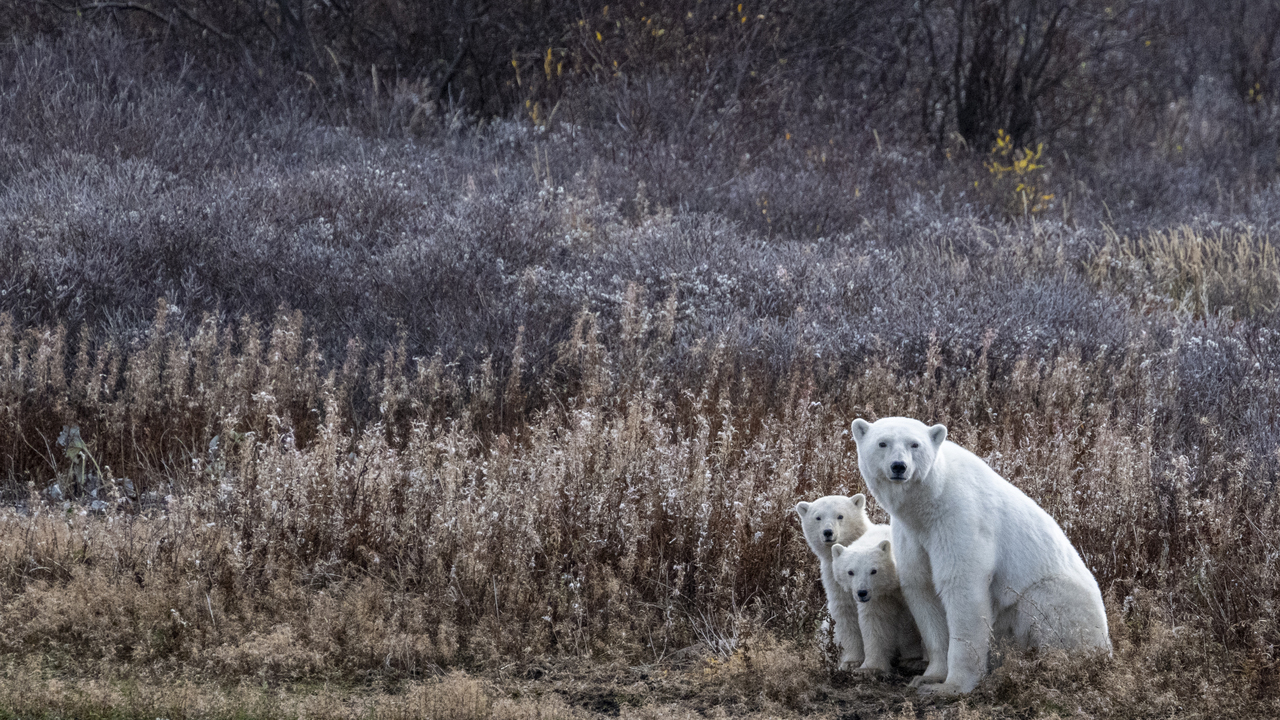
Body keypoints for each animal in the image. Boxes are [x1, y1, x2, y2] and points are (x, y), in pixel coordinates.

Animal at [795, 494, 873, 670]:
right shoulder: (835, 577)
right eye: (818, 517)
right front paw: (850, 662)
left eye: (840, 516)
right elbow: (845, 612)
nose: (828, 532)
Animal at [831, 527, 926, 675]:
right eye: (850, 572)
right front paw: (868, 668)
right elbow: (875, 621)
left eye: (873, 571)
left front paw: (918, 661)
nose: (862, 592)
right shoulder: (879, 597)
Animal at [850, 416, 1111, 695]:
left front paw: (950, 686)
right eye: (882, 443)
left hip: (1064, 602)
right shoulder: (912, 535)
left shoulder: (960, 518)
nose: (899, 467)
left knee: (1046, 606)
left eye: (914, 444)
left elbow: (962, 587)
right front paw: (928, 677)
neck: (929, 502)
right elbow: (923, 588)